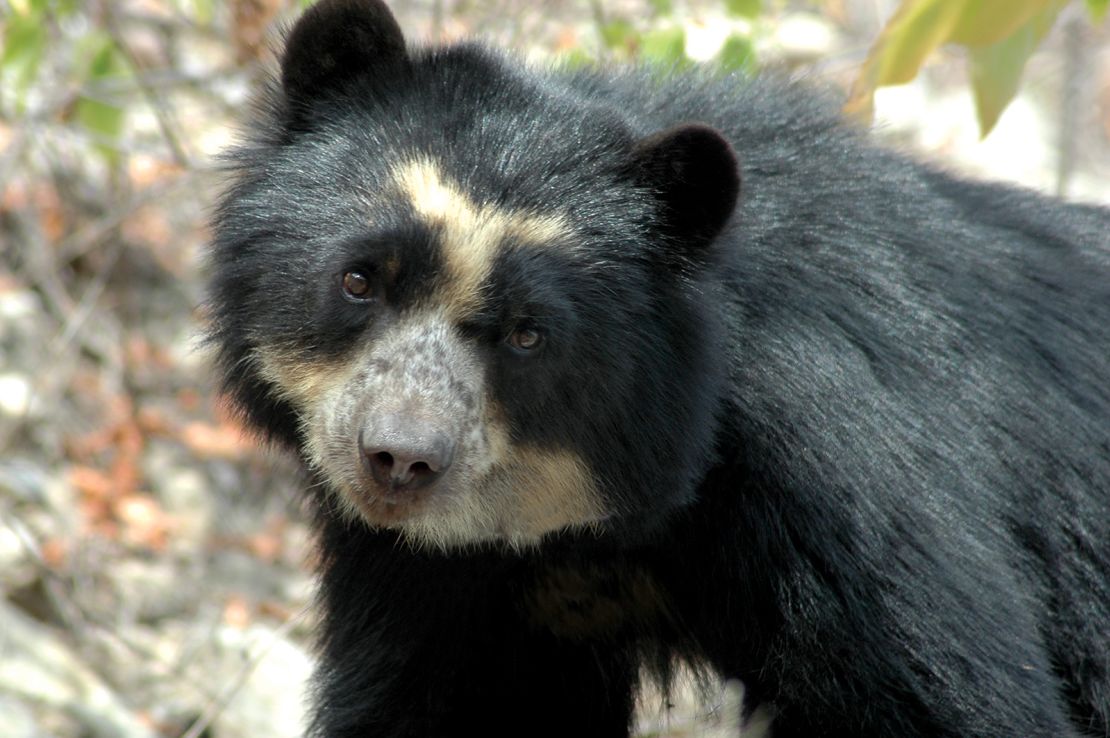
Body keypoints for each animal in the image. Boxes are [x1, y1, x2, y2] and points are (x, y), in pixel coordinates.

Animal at [208, 2, 1110, 732]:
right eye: (361, 280)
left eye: (528, 335)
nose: (399, 459)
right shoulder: (443, 575)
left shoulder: (841, 476)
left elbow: (951, 694)